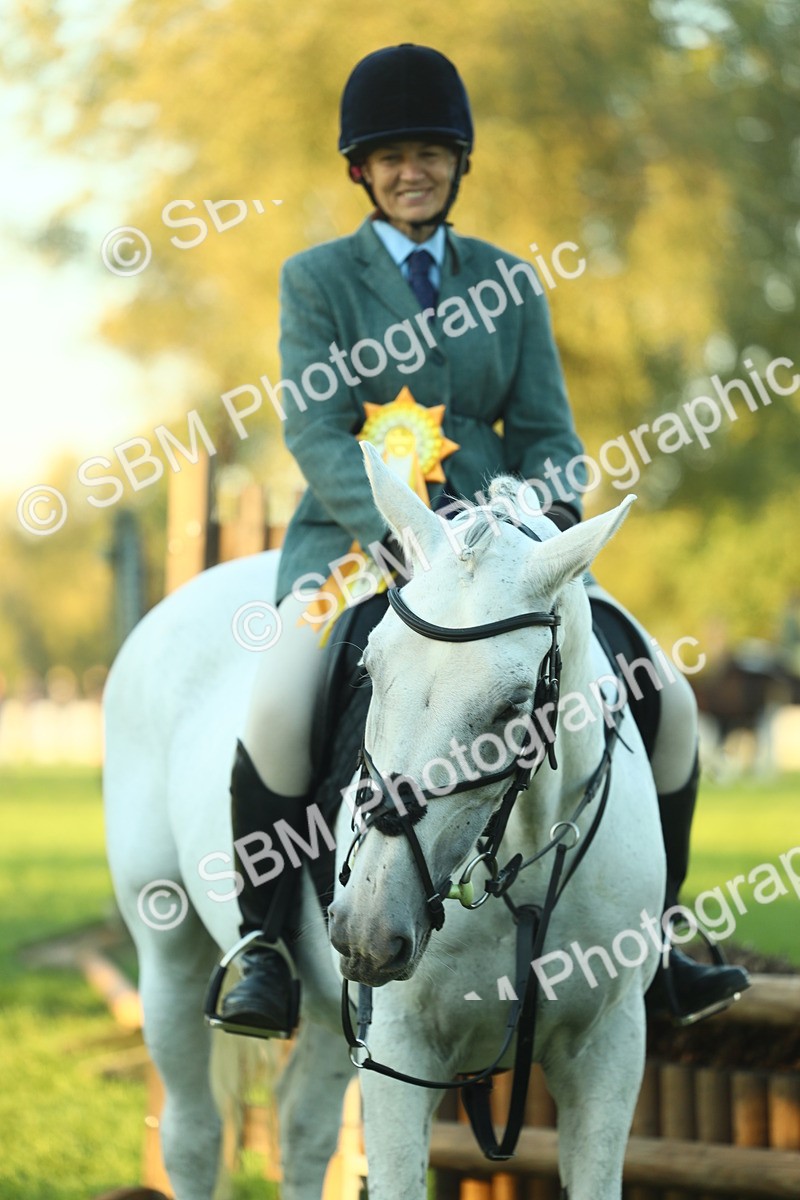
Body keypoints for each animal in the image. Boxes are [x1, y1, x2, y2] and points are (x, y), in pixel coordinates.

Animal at [104, 444, 665, 1200]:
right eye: (369, 670)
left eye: (513, 707)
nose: (368, 930)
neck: (518, 860)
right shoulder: (402, 1053)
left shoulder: (609, 1049)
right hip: (169, 948)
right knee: (193, 1136)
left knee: (302, 1128)